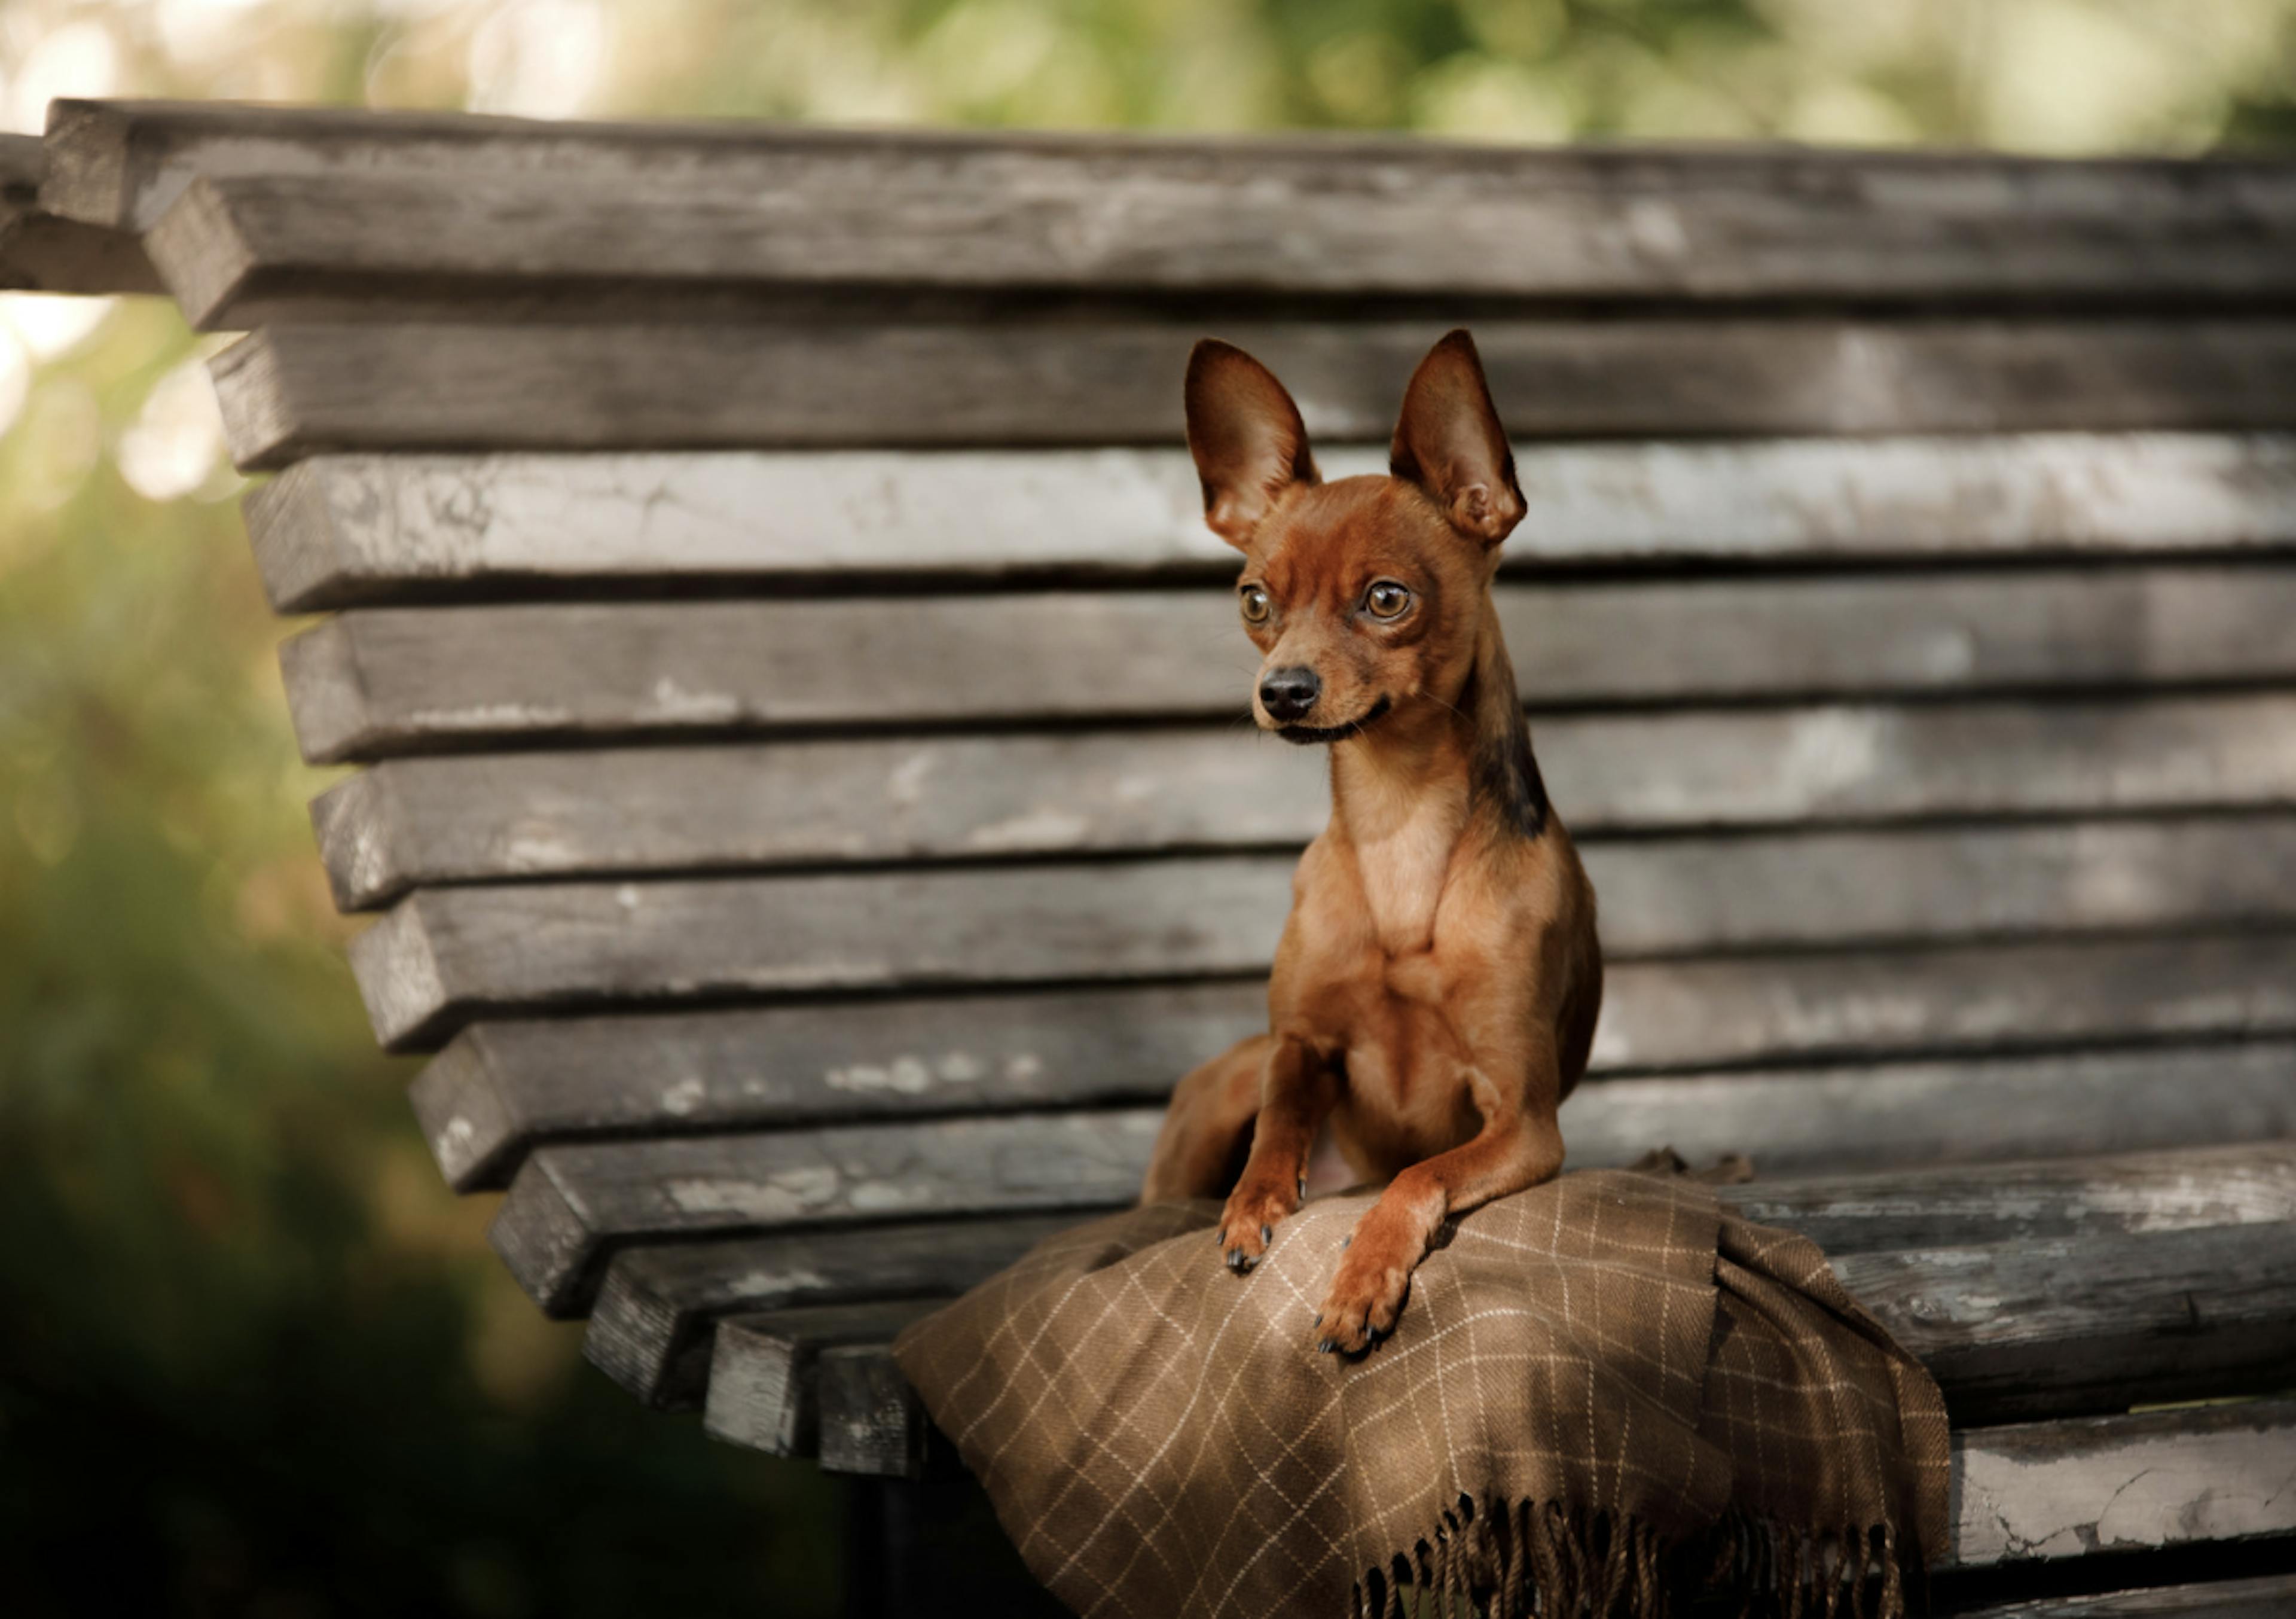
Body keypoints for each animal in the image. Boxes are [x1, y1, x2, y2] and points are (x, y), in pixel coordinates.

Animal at [1143, 326, 1607, 1350]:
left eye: (1388, 599)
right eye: (1255, 601)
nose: (1282, 690)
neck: (1398, 819)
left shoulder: (1523, 1121)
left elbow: (1417, 1171)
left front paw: (1362, 1275)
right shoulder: (1300, 1043)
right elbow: (1279, 1121)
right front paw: (1254, 1205)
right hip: (1215, 1098)